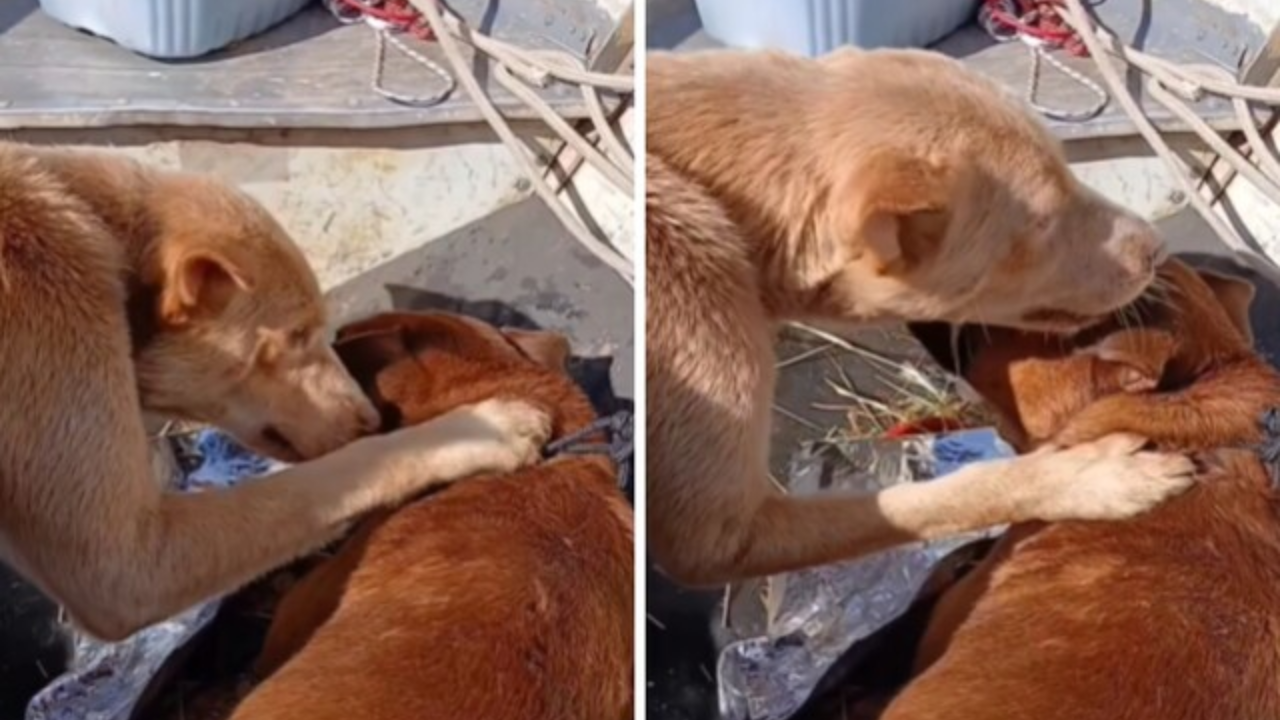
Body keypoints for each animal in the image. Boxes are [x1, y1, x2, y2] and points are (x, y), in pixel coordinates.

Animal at [650, 46, 1198, 584]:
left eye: (1069, 169)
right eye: (1041, 224)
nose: (1158, 249)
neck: (730, 207)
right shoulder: (718, 538)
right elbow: (945, 497)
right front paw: (1085, 478)